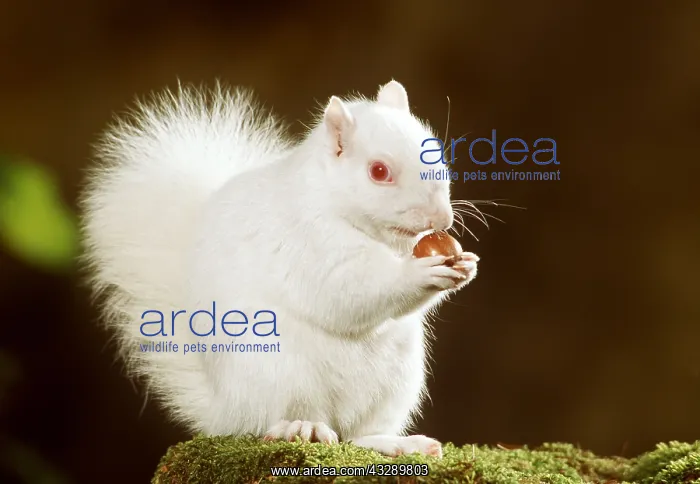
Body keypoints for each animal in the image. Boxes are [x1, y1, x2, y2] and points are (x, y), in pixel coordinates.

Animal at [80, 80, 479, 458]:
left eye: (436, 153)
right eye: (379, 172)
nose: (442, 219)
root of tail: (226, 410)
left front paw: (466, 265)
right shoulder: (309, 242)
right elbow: (350, 287)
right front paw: (419, 273)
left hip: (397, 381)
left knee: (358, 434)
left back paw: (394, 443)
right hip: (278, 373)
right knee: (274, 421)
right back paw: (301, 427)